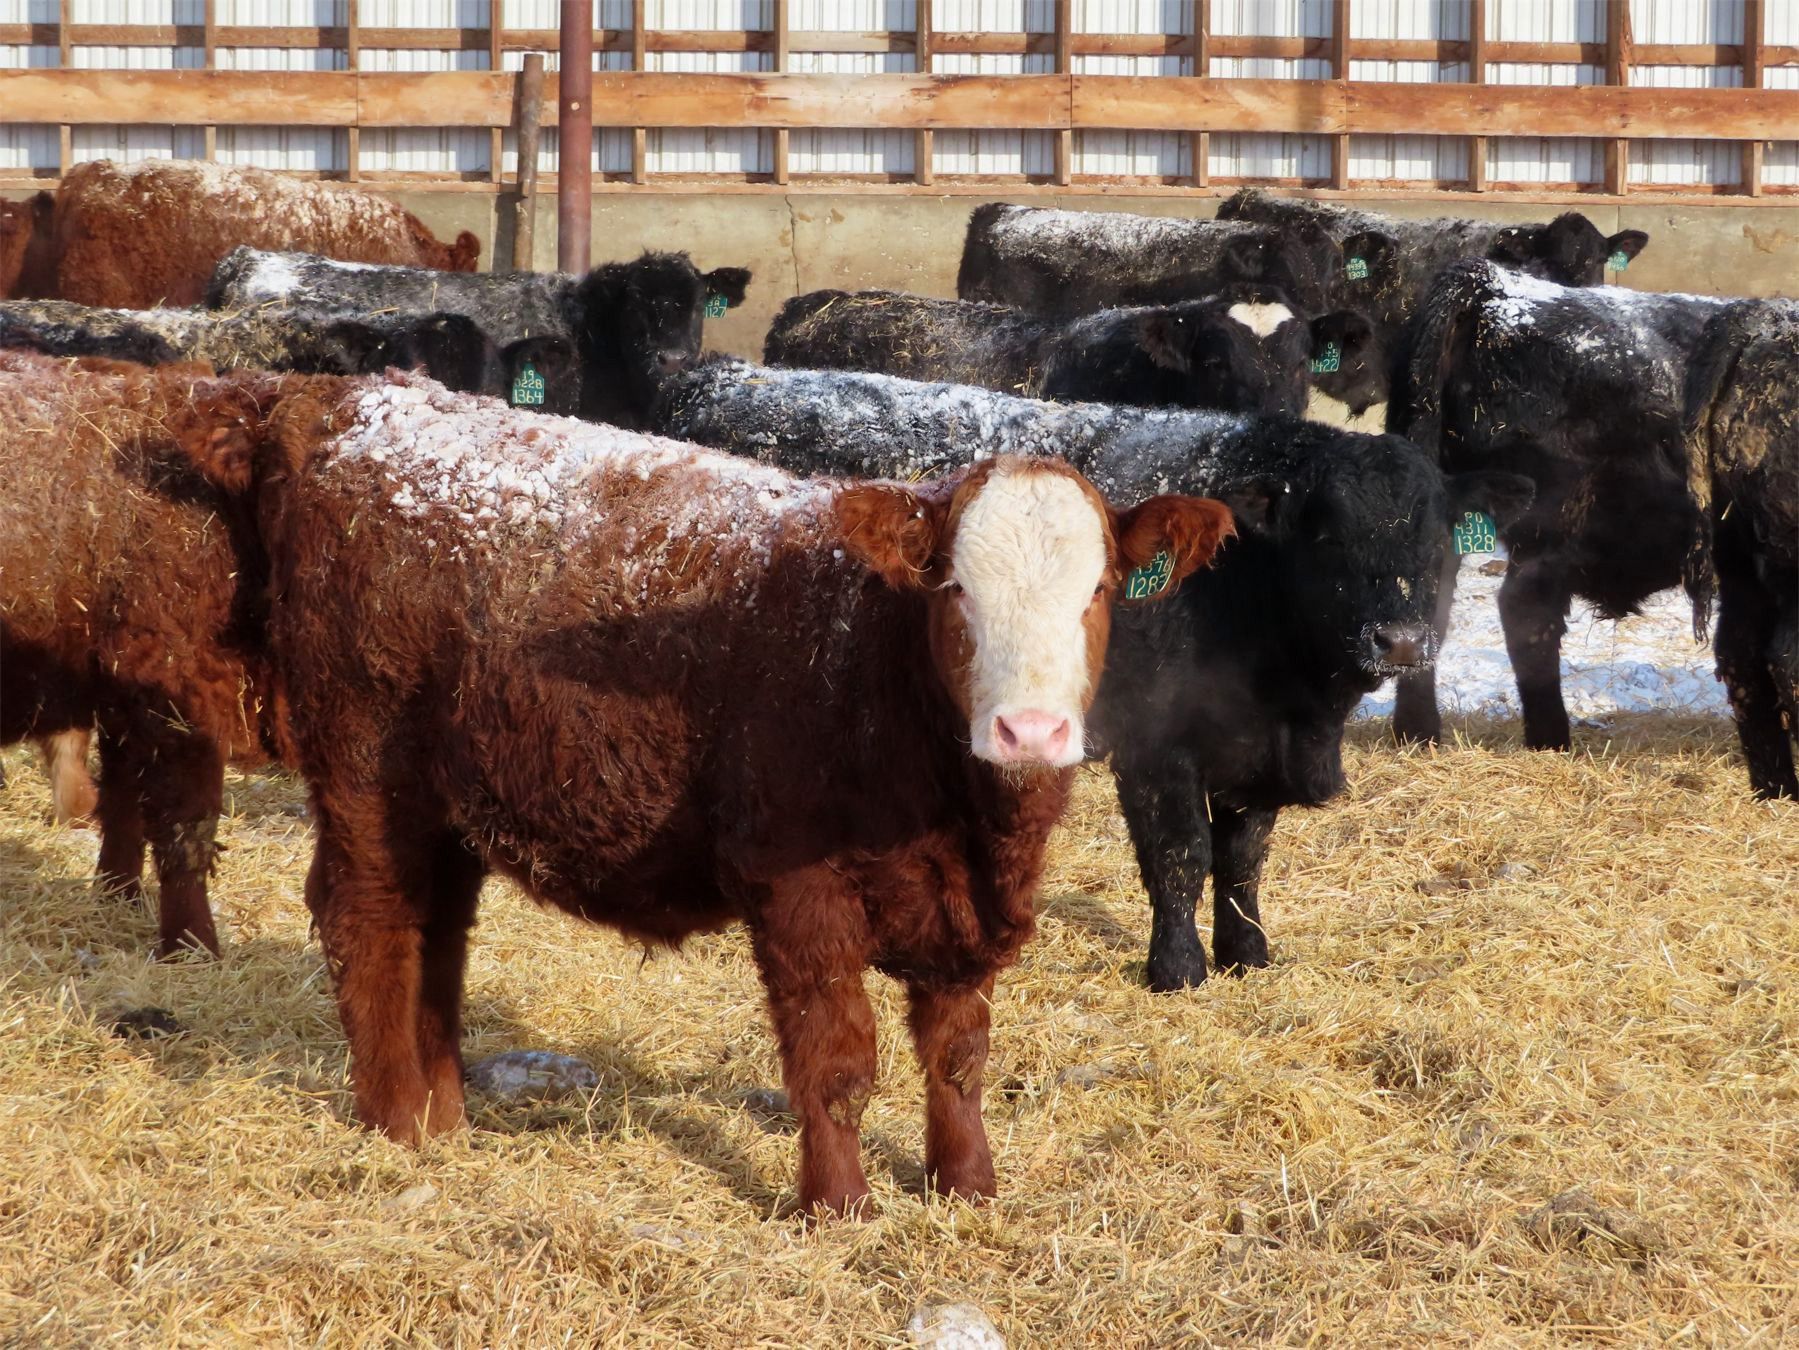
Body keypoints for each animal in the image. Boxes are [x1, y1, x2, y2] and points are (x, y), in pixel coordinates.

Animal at [0, 351, 291, 957]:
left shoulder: (123, 693)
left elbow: (122, 802)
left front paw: (118, 895)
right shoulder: (176, 696)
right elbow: (185, 828)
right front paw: (192, 945)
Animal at [177, 368, 1232, 1214]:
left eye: (1097, 591)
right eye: (954, 591)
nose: (1031, 732)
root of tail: (344, 397)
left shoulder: (963, 912)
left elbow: (958, 1054)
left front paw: (966, 1185)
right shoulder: (796, 889)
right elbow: (836, 1061)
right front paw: (836, 1205)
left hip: (449, 800)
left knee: (438, 929)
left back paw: (444, 1114)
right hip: (366, 770)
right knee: (369, 920)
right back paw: (395, 1121)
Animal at [654, 357, 1533, 990]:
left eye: (1439, 536)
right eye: (1326, 536)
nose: (1400, 639)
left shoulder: (1251, 752)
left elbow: (1242, 857)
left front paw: (1248, 955)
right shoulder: (1157, 748)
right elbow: (1181, 856)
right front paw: (1177, 971)